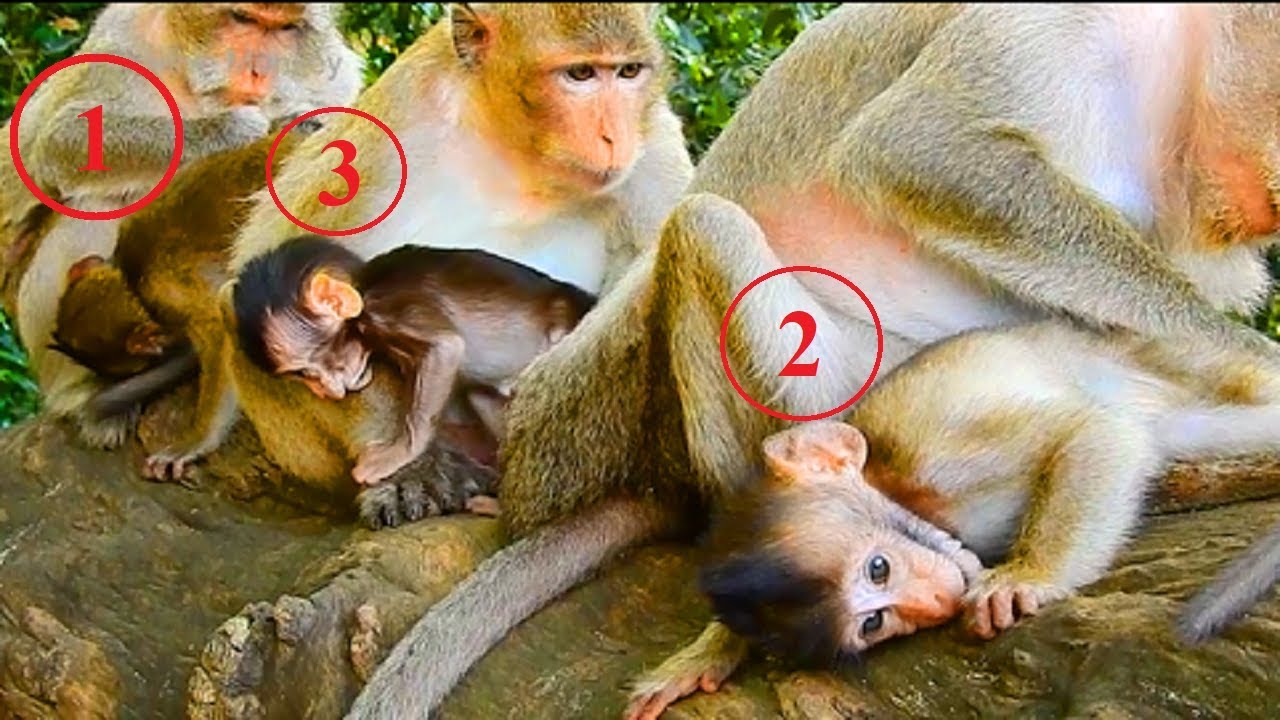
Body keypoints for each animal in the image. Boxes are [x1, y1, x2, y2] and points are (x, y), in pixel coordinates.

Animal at [4, 2, 362, 448]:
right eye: (244, 20)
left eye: (283, 29)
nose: (258, 72)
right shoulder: (127, 34)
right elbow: (64, 138)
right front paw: (235, 129)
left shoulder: (335, 76)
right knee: (95, 201)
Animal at [229, 234, 597, 486]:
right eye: (304, 377)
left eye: (312, 366)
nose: (327, 391)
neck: (364, 285)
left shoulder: (387, 308)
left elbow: (445, 348)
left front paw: (403, 450)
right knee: (480, 396)